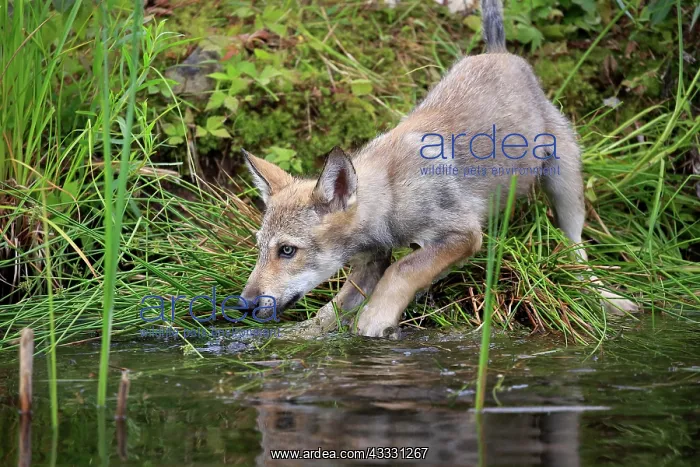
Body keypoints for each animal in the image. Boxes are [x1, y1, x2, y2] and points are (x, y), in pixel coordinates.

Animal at [240, 0, 638, 338]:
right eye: (260, 248)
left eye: (287, 251)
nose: (244, 303)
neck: (391, 193)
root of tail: (499, 53)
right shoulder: (369, 264)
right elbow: (327, 314)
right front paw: (296, 339)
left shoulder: (463, 235)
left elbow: (403, 271)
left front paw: (374, 320)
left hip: (564, 181)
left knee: (578, 252)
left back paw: (611, 300)